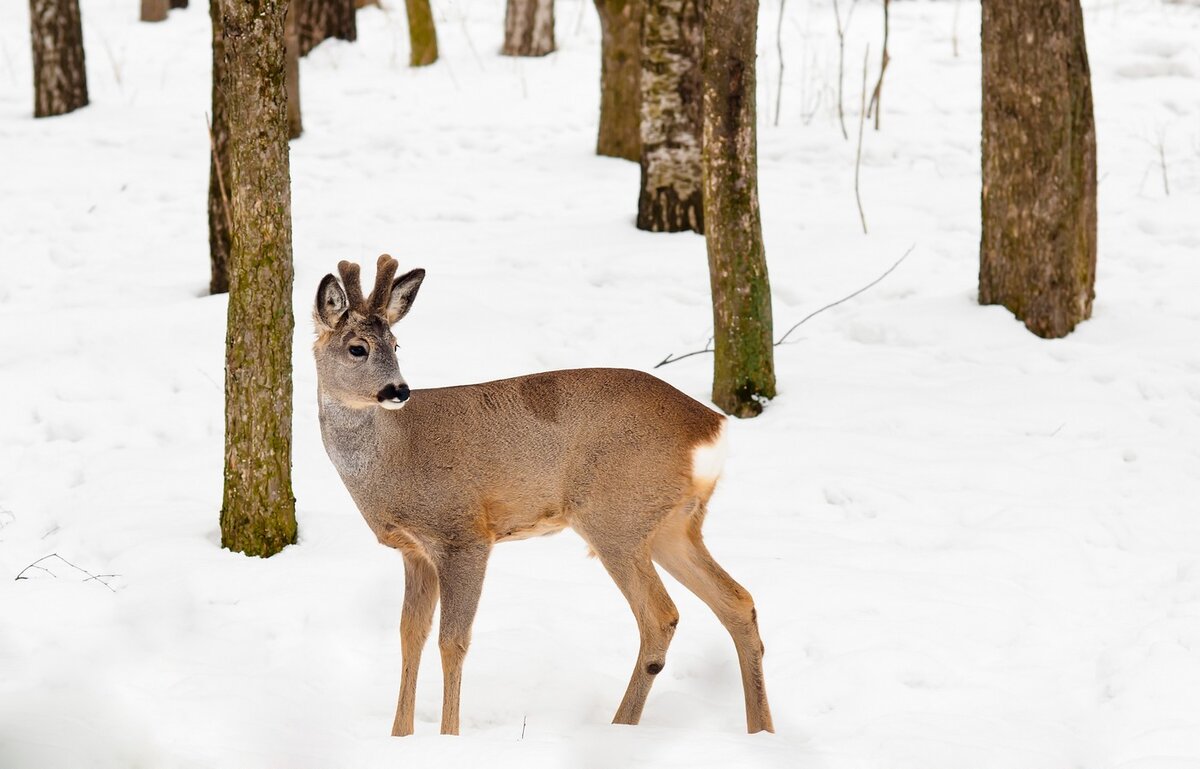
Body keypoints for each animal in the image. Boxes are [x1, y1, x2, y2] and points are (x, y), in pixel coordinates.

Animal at [314, 254, 772, 734]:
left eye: (396, 345)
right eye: (358, 348)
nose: (398, 390)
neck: (394, 457)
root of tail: (713, 428)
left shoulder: (464, 534)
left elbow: (452, 641)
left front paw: (448, 735)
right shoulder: (414, 551)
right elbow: (409, 637)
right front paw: (400, 736)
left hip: (616, 518)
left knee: (661, 616)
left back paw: (620, 727)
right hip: (671, 524)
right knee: (738, 601)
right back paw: (760, 729)